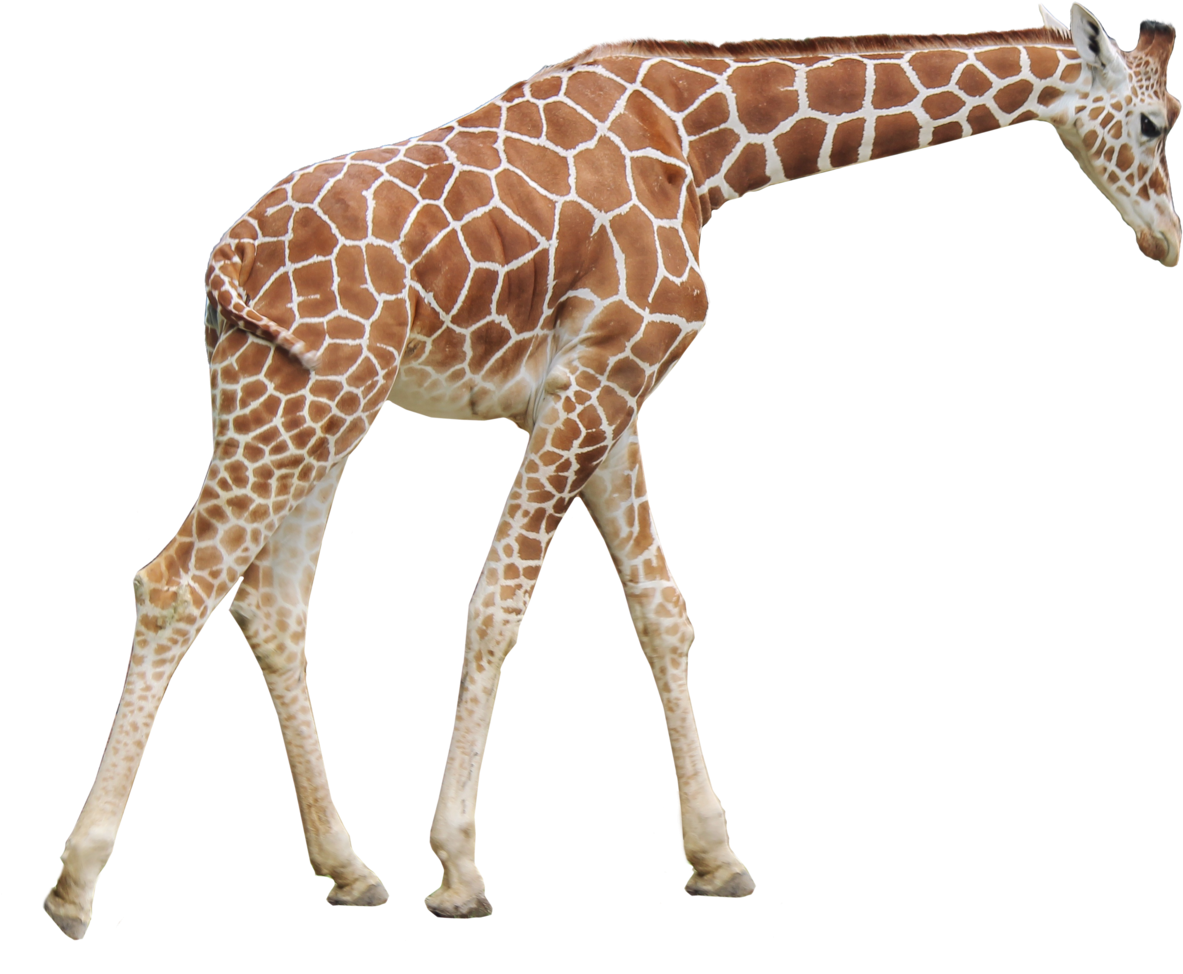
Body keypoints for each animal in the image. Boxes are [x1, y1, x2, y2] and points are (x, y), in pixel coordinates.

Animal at [43, 3, 1176, 937]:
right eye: (1157, 123)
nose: (1165, 241)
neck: (705, 146)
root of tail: (224, 260)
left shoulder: (611, 394)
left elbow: (661, 608)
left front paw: (715, 855)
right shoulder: (596, 378)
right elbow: (498, 602)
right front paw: (458, 869)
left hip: (310, 403)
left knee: (268, 604)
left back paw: (348, 867)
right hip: (303, 403)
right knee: (177, 581)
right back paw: (76, 884)